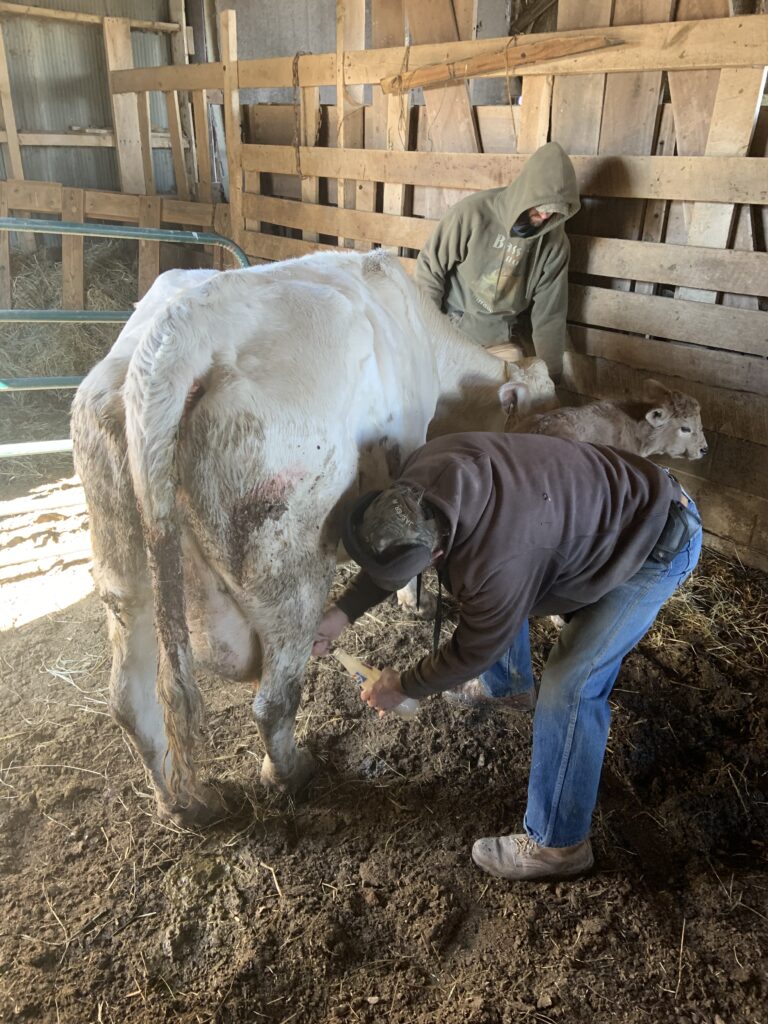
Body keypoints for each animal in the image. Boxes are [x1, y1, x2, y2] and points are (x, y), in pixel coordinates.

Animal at [70, 249, 552, 823]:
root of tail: (176, 332)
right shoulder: (409, 442)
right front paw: (415, 603)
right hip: (289, 571)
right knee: (273, 700)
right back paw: (290, 774)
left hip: (122, 560)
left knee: (130, 697)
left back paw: (183, 804)